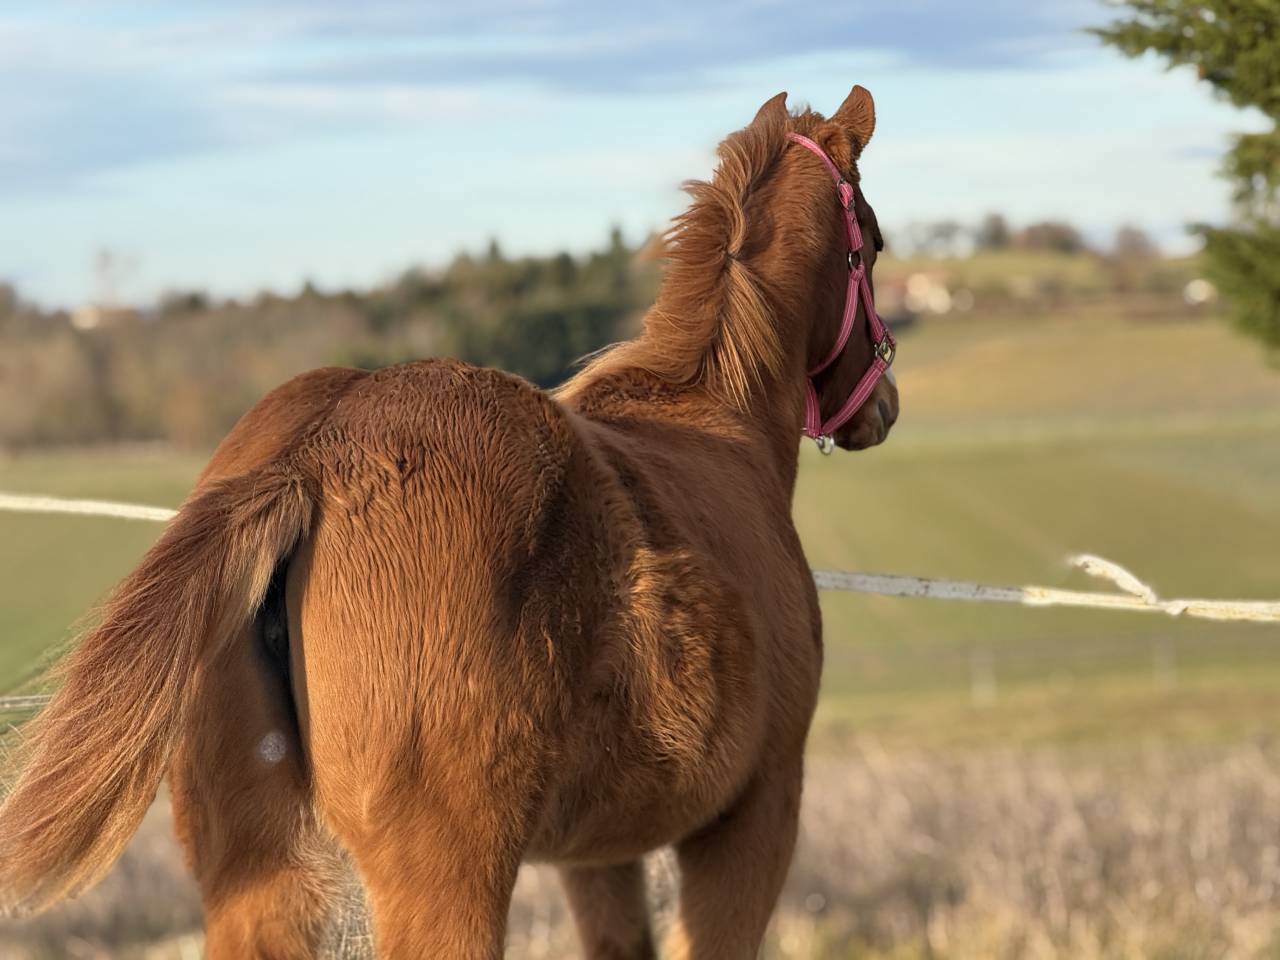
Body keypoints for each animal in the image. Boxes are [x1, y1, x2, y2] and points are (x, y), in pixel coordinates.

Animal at [0, 84, 898, 958]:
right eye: (877, 239)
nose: (883, 405)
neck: (718, 420)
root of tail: (313, 455)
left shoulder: (596, 857)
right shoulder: (754, 819)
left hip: (256, 877)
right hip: (447, 878)